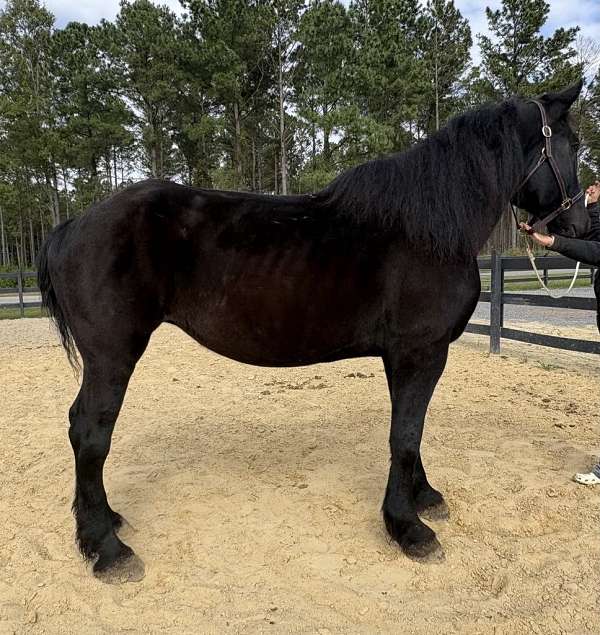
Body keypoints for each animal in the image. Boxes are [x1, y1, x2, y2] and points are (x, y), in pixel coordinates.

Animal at [38, 79, 592, 580]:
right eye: (573, 144)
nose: (580, 225)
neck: (429, 229)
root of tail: (73, 225)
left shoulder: (405, 357)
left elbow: (410, 431)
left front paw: (424, 498)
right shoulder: (421, 352)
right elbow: (405, 435)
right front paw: (408, 528)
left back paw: (105, 521)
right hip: (113, 354)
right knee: (90, 432)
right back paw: (106, 548)